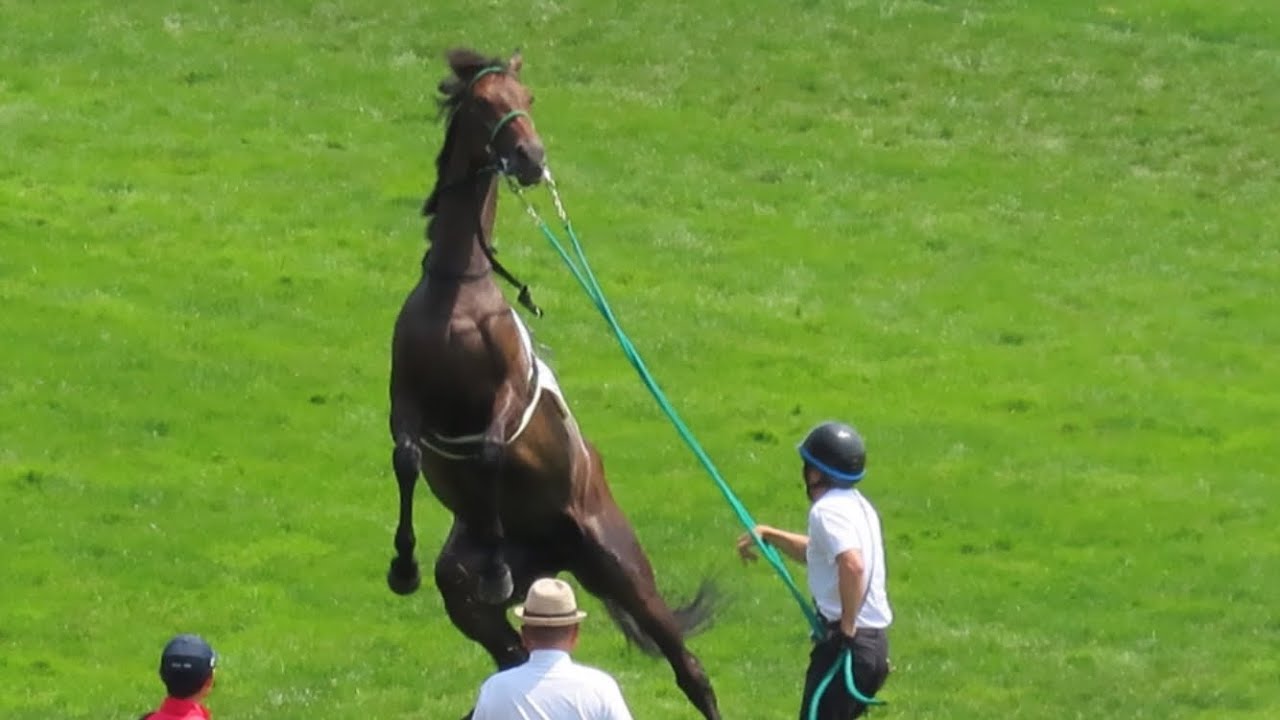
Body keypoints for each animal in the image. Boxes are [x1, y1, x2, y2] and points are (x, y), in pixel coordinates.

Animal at [384, 48, 722, 720]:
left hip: (622, 567)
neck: (459, 292)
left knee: (691, 670)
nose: (531, 158)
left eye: (529, 98)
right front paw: (402, 566)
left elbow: (491, 447)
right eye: (485, 102)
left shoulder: (505, 393)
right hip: (476, 591)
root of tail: (558, 551)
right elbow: (406, 458)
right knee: (512, 650)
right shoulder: (405, 398)